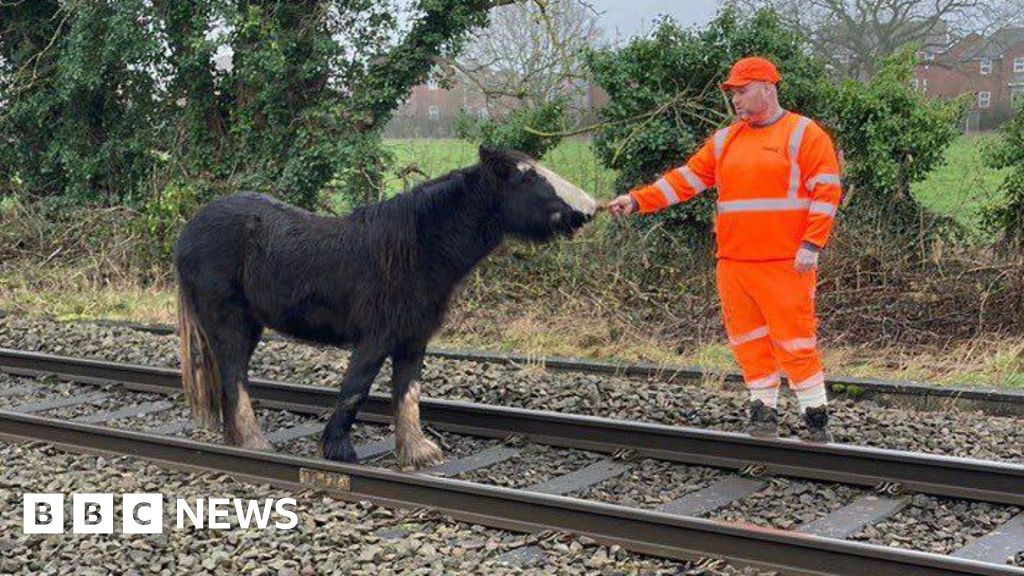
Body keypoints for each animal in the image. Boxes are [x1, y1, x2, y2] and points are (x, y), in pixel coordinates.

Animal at [174, 146, 596, 470]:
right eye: (529, 177)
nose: (589, 209)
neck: (418, 249)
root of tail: (189, 230)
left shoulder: (413, 339)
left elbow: (407, 393)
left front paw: (416, 452)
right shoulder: (376, 337)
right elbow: (355, 388)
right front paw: (338, 449)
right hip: (228, 320)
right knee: (234, 377)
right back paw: (254, 445)